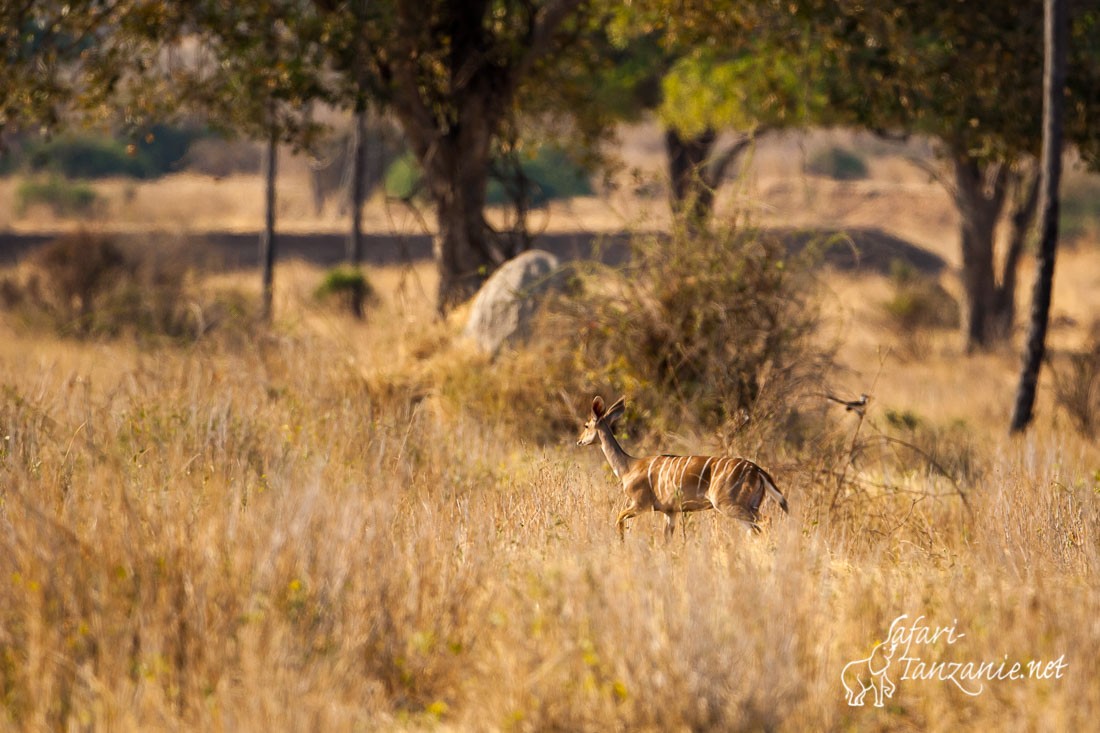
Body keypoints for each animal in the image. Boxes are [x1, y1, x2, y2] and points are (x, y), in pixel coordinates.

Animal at [580, 394, 787, 537]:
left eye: (586, 425)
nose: (579, 441)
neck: (628, 467)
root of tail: (758, 471)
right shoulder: (670, 512)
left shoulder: (640, 504)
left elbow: (618, 518)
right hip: (746, 506)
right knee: (755, 530)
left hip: (730, 504)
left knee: (766, 521)